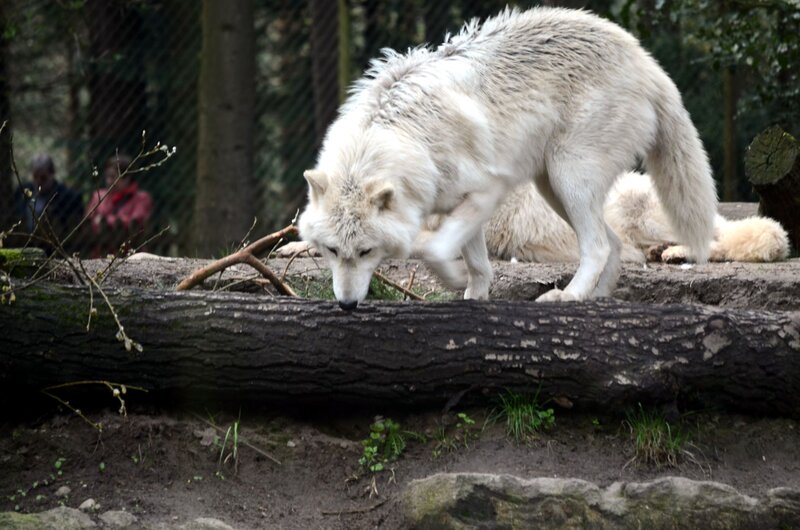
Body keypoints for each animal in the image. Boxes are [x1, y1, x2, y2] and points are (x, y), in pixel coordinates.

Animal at [298, 7, 718, 310]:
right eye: (332, 251)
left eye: (366, 251)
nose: (346, 305)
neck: (409, 134)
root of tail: (648, 64)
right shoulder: (461, 204)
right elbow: (476, 262)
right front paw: (473, 295)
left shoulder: (487, 191)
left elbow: (433, 249)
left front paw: (454, 280)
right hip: (552, 188)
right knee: (612, 244)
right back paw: (593, 298)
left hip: (568, 177)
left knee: (598, 245)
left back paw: (568, 295)